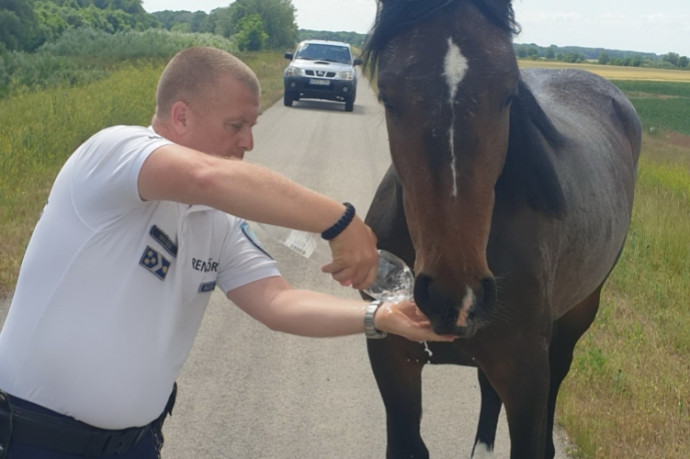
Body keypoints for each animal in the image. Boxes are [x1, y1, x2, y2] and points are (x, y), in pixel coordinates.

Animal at [360, 0, 640, 459]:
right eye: (388, 96)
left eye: (508, 94)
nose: (454, 296)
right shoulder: (393, 359)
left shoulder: (526, 376)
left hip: (579, 314)